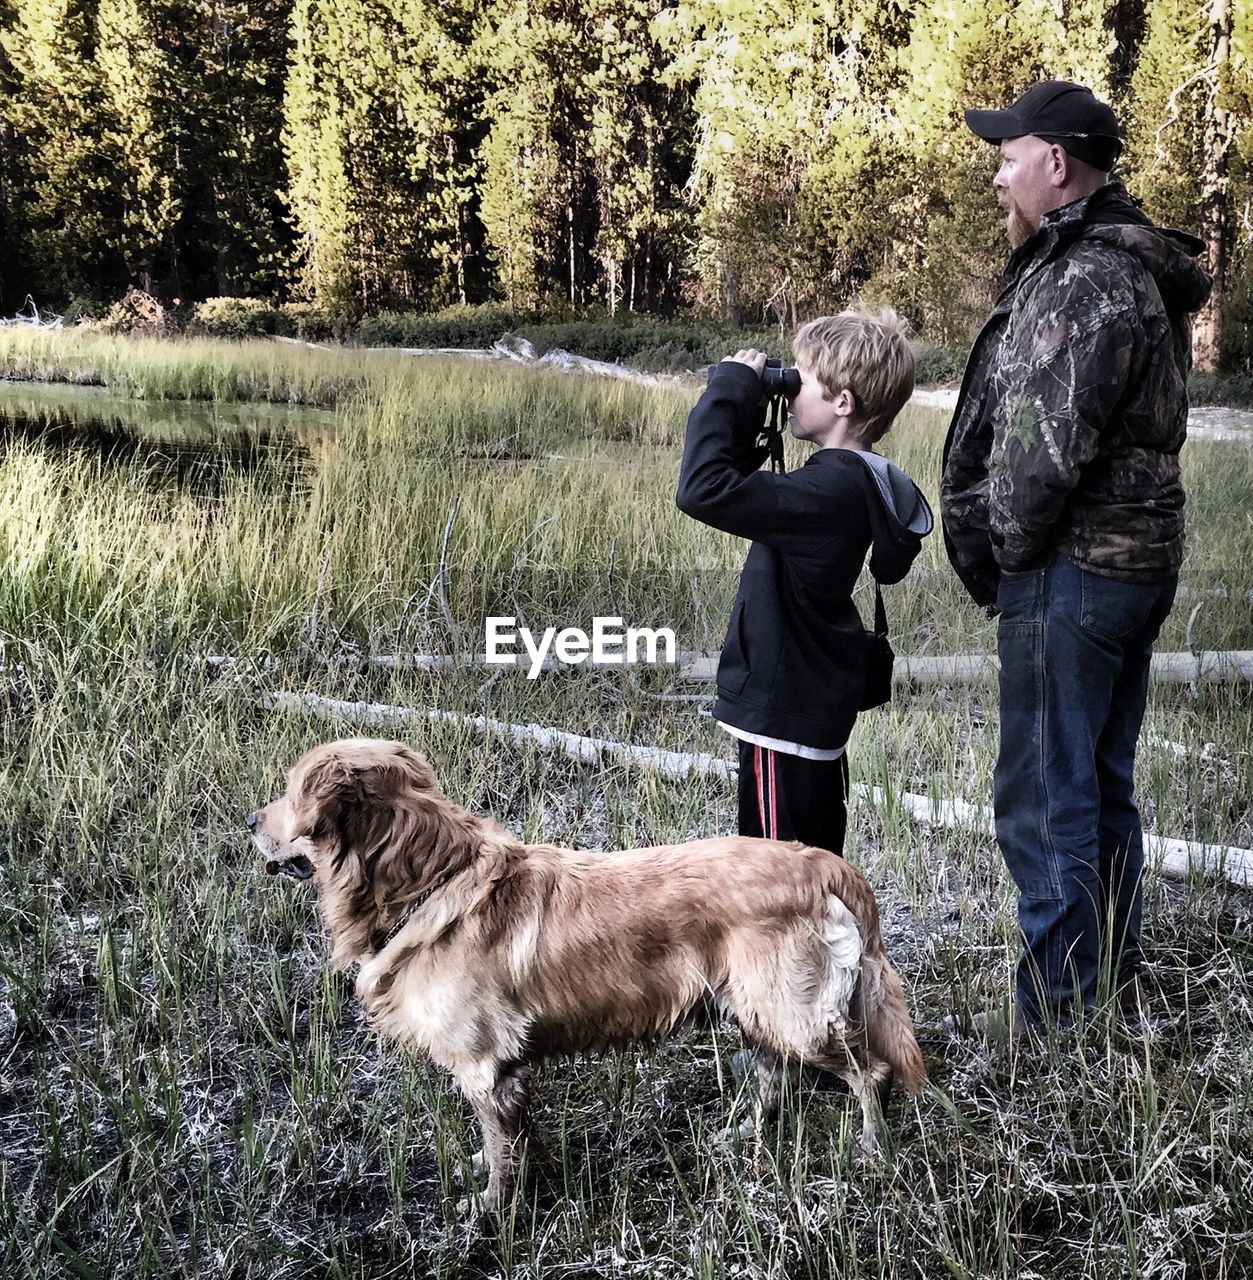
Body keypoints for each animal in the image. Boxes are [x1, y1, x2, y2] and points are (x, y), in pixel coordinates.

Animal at [249, 742, 926, 1208]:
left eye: (287, 793)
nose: (252, 821)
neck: (431, 879)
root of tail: (828, 866)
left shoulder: (481, 1065)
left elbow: (500, 1149)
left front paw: (493, 1208)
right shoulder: (504, 1073)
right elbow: (508, 1140)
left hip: (795, 1013)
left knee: (871, 1073)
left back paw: (872, 1153)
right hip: (753, 1008)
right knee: (774, 1077)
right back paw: (742, 1138)